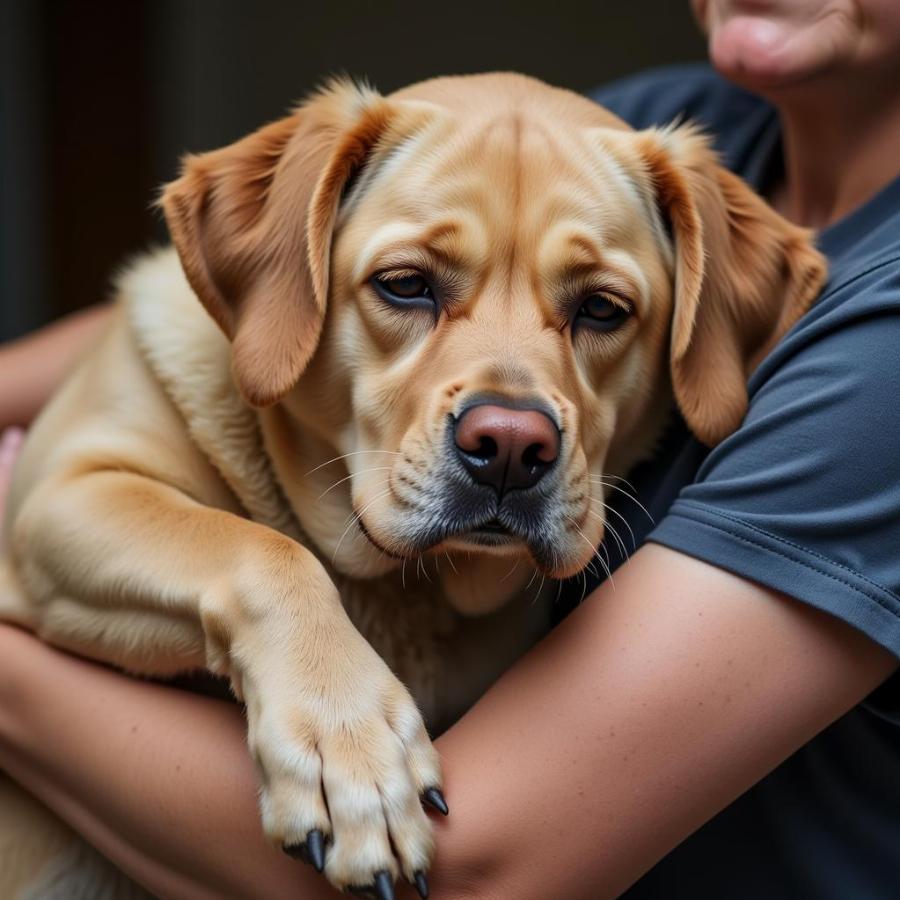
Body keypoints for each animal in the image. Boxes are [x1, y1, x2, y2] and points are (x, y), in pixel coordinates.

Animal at [0, 74, 828, 896]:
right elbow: (262, 550)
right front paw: (350, 749)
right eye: (405, 286)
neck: (405, 592)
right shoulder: (59, 501)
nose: (509, 447)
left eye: (602, 307)